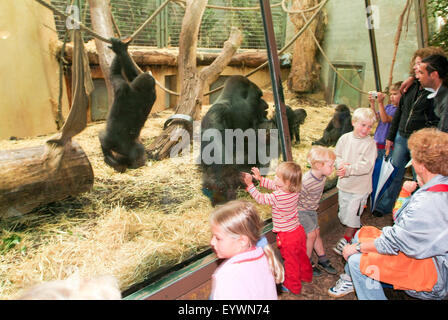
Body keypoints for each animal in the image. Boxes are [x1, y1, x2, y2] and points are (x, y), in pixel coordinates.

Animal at [98, 38, 156, 172]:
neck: (142, 91)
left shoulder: (122, 86)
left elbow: (115, 74)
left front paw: (120, 49)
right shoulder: (152, 93)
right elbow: (132, 74)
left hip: (112, 142)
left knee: (103, 139)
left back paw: (109, 158)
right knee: (138, 152)